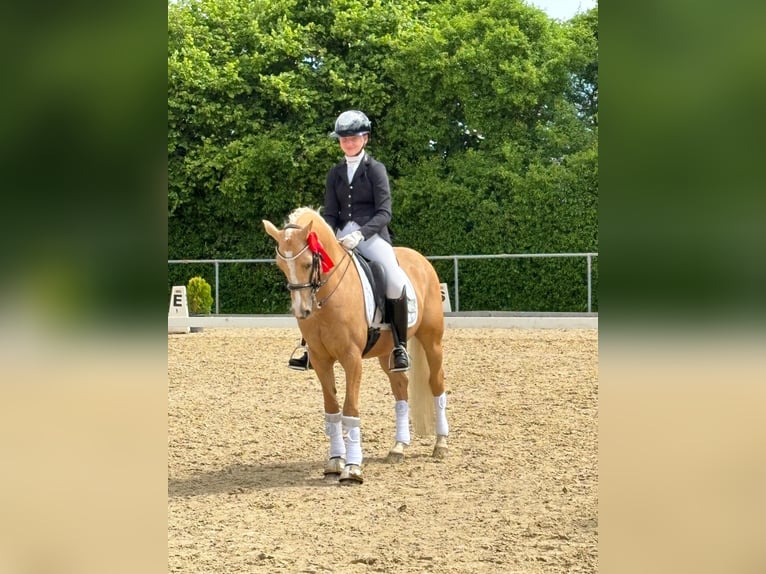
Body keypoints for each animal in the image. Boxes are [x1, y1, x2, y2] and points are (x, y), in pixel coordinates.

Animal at [264, 208, 450, 486]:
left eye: (308, 263)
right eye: (280, 266)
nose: (302, 311)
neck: (329, 297)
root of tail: (420, 259)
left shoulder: (351, 359)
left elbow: (350, 409)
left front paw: (352, 469)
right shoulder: (320, 359)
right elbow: (332, 410)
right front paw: (334, 462)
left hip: (431, 340)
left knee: (436, 383)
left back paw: (441, 444)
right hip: (388, 353)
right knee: (401, 389)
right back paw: (398, 447)